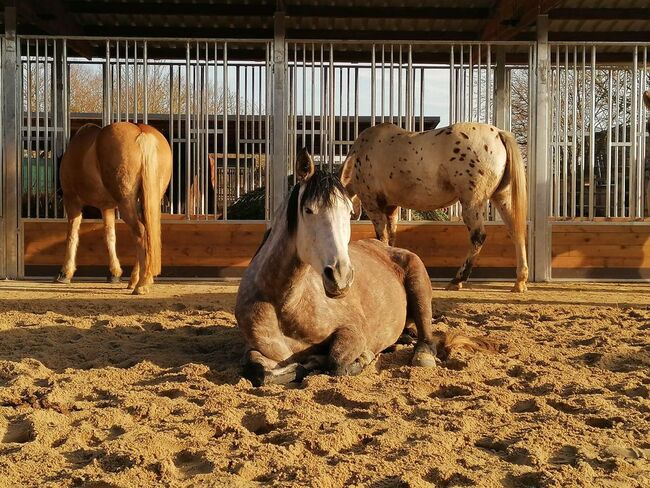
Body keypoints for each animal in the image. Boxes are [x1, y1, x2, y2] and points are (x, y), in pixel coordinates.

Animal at [56, 124, 171, 296]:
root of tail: (141, 132)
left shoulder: (72, 201)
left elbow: (72, 235)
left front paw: (65, 273)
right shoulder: (107, 207)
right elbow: (110, 236)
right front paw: (114, 272)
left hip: (125, 202)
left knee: (140, 231)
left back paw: (142, 284)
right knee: (146, 232)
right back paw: (135, 280)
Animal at [235, 149, 498, 386]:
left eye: (349, 212)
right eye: (308, 210)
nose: (340, 276)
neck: (285, 305)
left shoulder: (352, 331)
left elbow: (336, 362)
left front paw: (360, 358)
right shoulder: (255, 349)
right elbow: (258, 371)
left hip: (420, 287)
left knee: (426, 335)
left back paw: (421, 354)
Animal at [340, 122, 528, 294]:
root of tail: (499, 133)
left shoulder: (373, 205)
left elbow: (382, 237)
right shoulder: (391, 208)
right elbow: (391, 237)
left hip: (472, 202)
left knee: (478, 237)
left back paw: (457, 280)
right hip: (502, 197)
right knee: (516, 231)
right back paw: (519, 282)